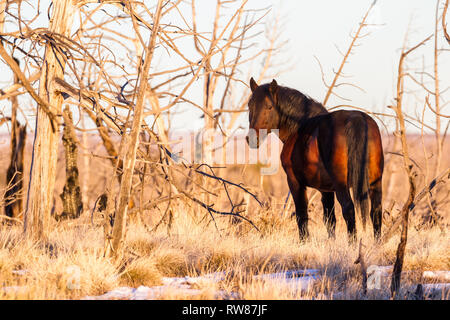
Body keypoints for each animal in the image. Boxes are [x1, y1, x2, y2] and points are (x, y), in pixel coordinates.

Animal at [246, 78, 384, 242]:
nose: (252, 139)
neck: (299, 128)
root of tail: (357, 119)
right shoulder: (326, 190)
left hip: (342, 185)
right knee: (376, 212)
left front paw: (304, 241)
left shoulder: (295, 182)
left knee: (349, 210)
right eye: (250, 105)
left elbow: (302, 214)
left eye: (269, 106)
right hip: (375, 182)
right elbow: (330, 219)